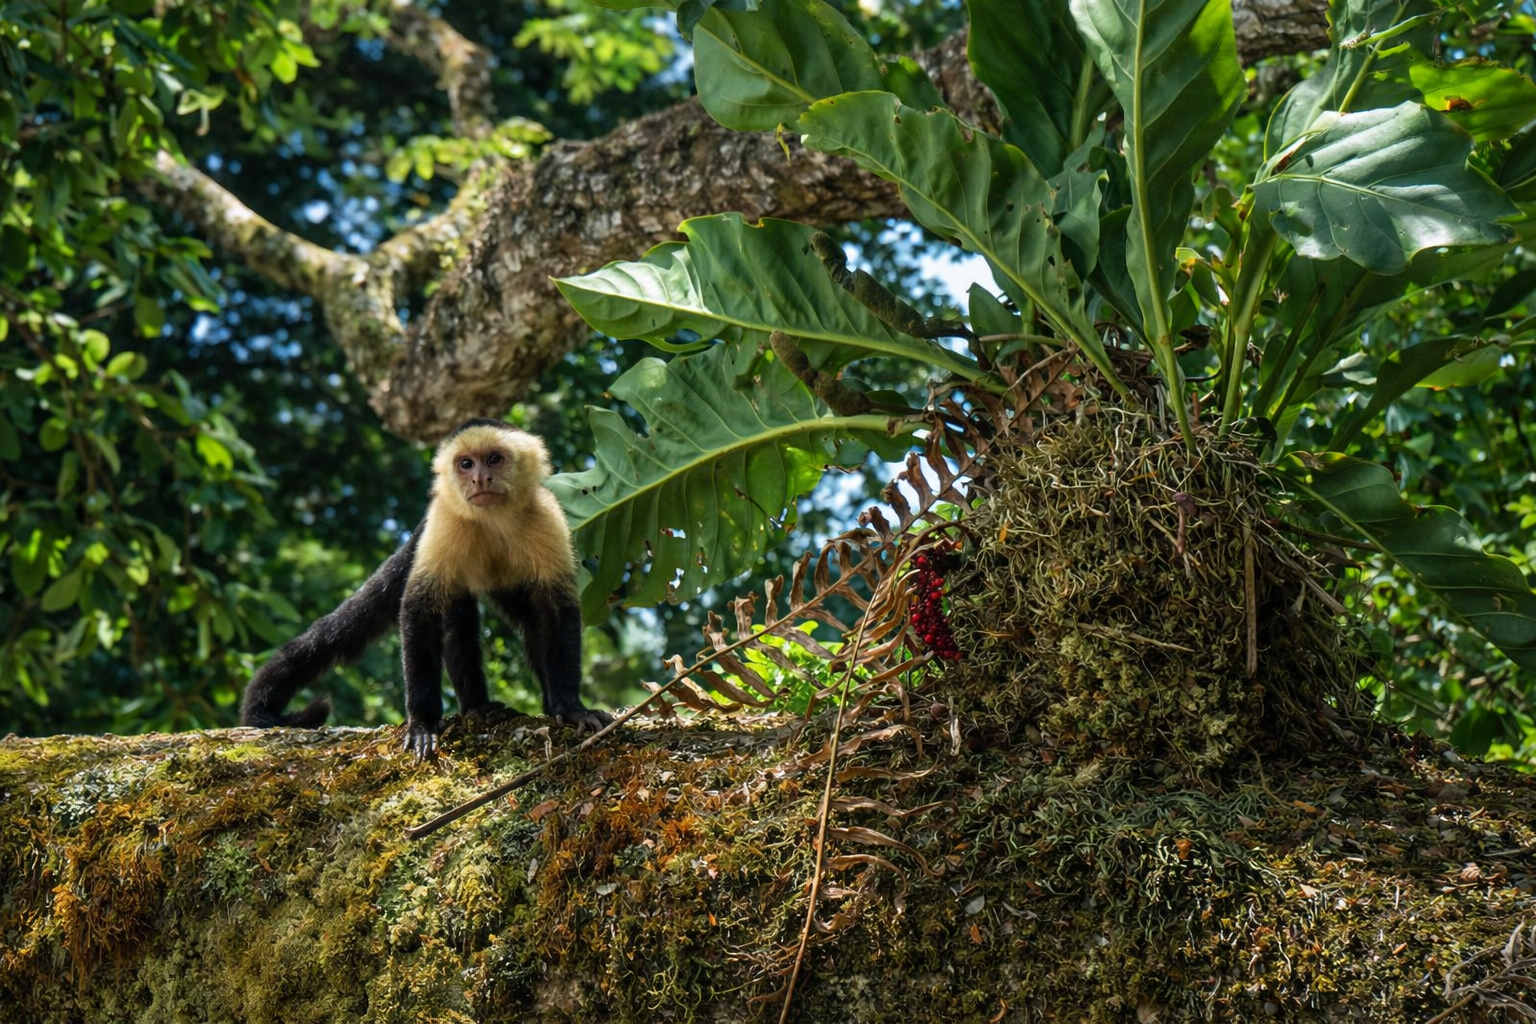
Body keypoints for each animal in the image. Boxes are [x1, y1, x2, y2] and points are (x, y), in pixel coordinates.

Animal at [239, 418, 612, 757]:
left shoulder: (546, 515)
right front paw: (422, 721)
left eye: (494, 459)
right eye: (465, 464)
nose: (480, 478)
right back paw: (477, 708)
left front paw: (570, 708)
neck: (493, 520)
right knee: (451, 618)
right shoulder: (444, 518)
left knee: (529, 620)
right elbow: (420, 606)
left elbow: (556, 610)